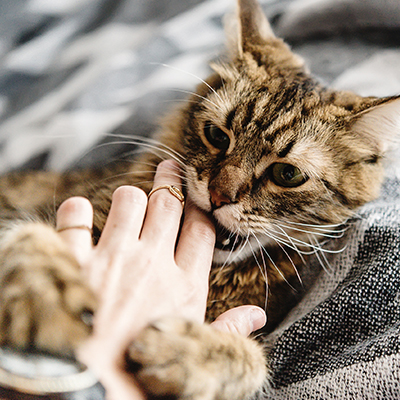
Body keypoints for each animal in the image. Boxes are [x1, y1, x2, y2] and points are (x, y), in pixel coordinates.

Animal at [0, 0, 400, 398]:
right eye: (217, 136)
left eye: (287, 175)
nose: (219, 195)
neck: (217, 274)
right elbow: (28, 237)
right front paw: (45, 296)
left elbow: (253, 361)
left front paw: (188, 353)